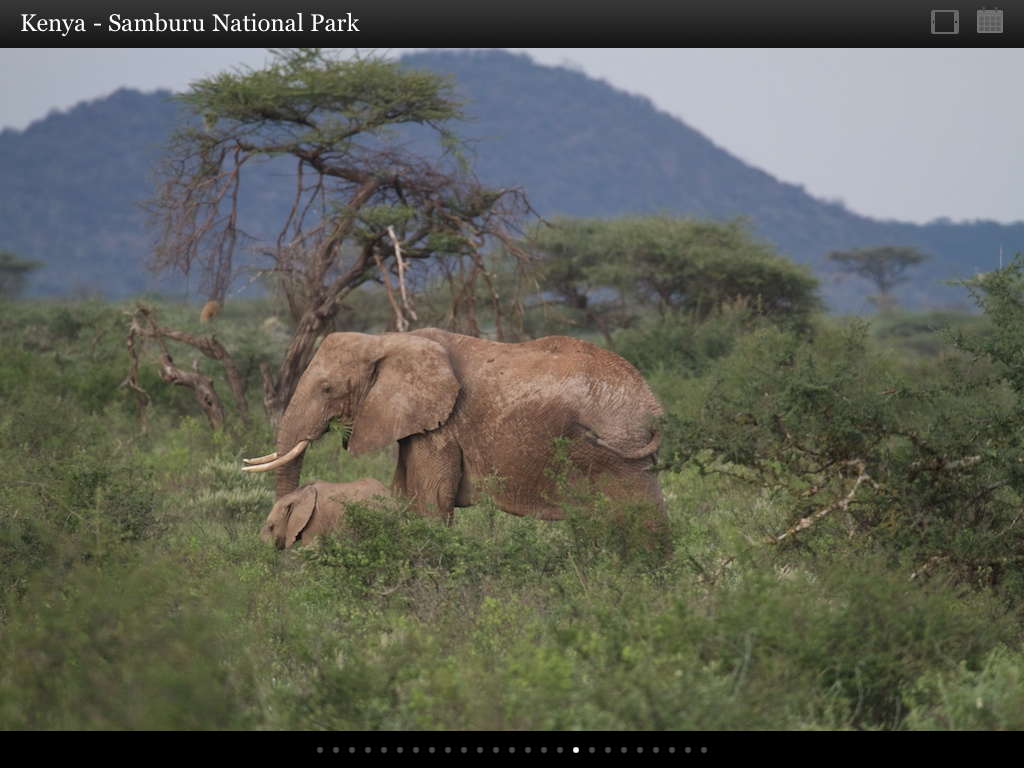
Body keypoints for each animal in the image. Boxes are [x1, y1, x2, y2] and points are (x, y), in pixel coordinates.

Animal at [243, 328, 666, 534]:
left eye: (328, 389)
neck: (387, 340)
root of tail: (652, 402)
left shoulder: (442, 428)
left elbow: (430, 501)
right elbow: (405, 496)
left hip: (615, 446)